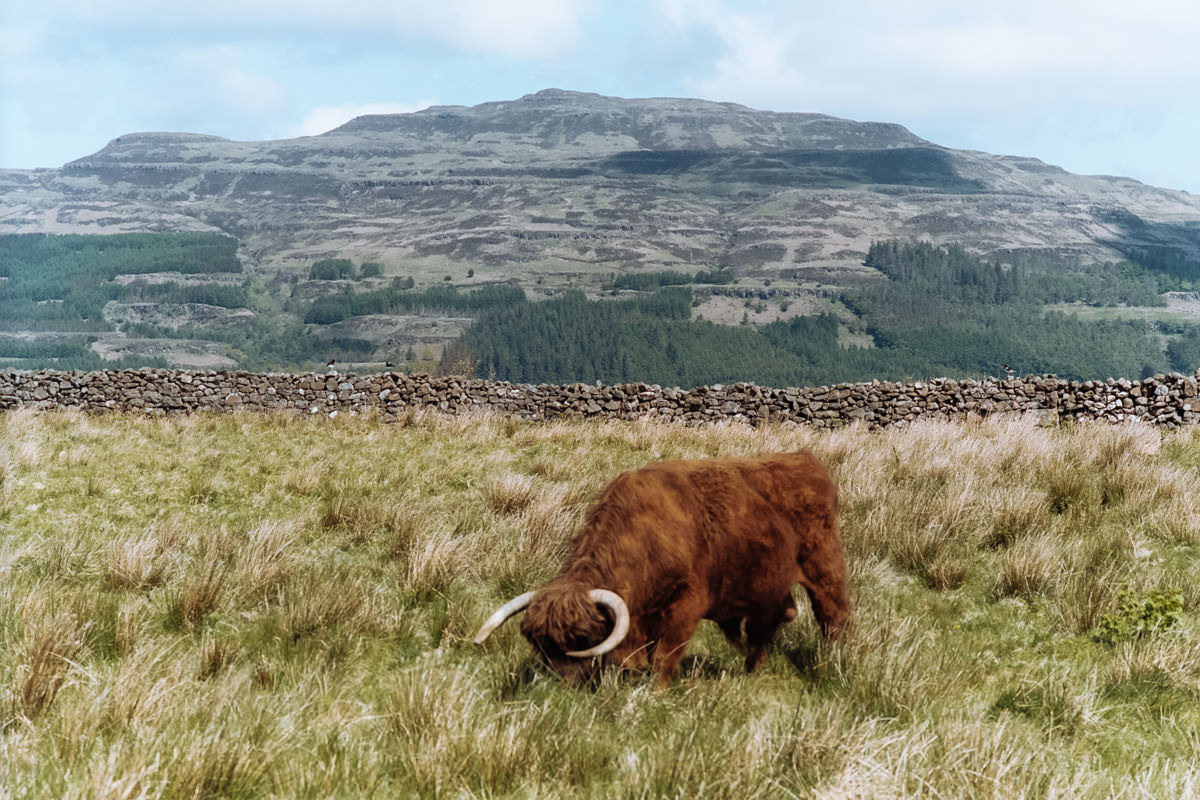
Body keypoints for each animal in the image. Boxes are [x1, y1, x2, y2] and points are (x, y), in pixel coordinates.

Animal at [472, 450, 849, 690]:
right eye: (539, 644)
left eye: (582, 639)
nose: (558, 686)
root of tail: (803, 458)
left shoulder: (685, 606)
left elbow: (664, 656)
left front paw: (656, 693)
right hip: (767, 589)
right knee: (769, 623)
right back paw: (752, 669)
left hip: (824, 567)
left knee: (834, 615)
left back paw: (832, 661)